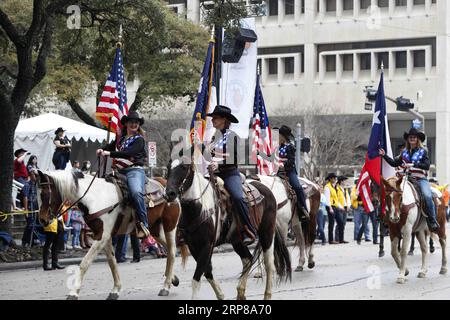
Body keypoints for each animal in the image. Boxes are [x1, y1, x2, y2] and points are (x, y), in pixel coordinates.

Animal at [36, 171, 181, 298]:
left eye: (45, 194)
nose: (42, 220)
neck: (95, 198)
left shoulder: (102, 236)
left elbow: (85, 262)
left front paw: (73, 293)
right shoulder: (104, 236)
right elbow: (112, 262)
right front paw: (115, 290)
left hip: (169, 226)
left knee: (172, 251)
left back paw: (165, 286)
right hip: (155, 229)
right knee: (168, 250)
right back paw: (172, 279)